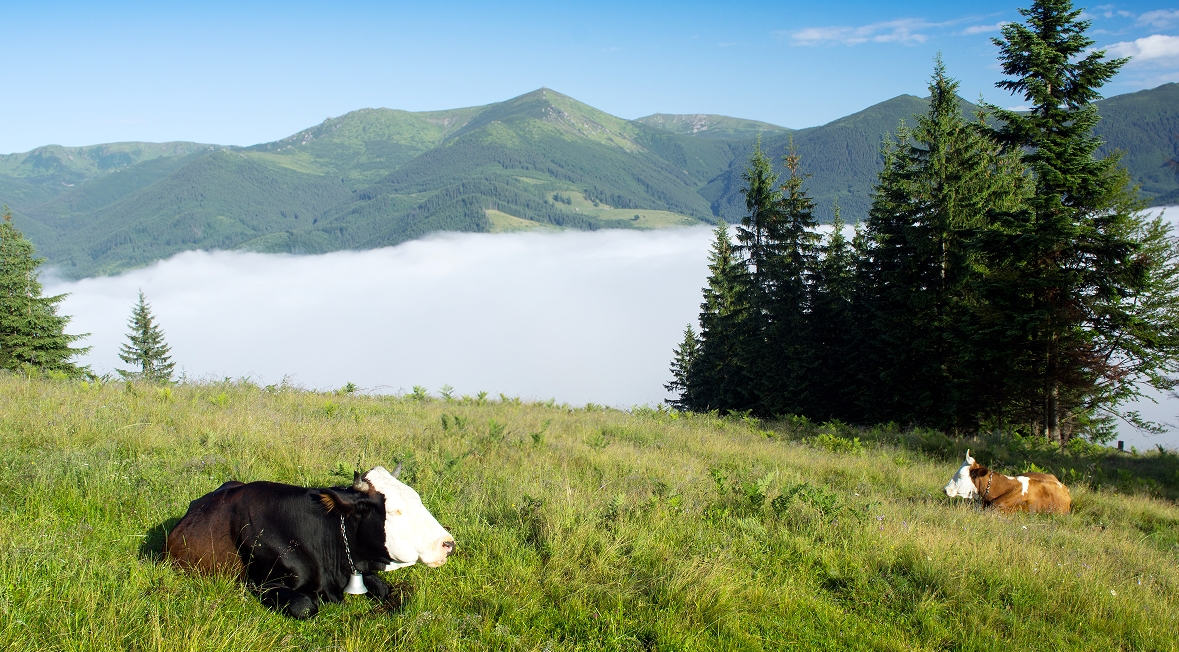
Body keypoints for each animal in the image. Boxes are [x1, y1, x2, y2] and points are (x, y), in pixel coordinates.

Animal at [166, 462, 455, 613]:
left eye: (417, 499)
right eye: (395, 511)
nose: (447, 544)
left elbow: (384, 589)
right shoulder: (261, 584)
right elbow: (306, 605)